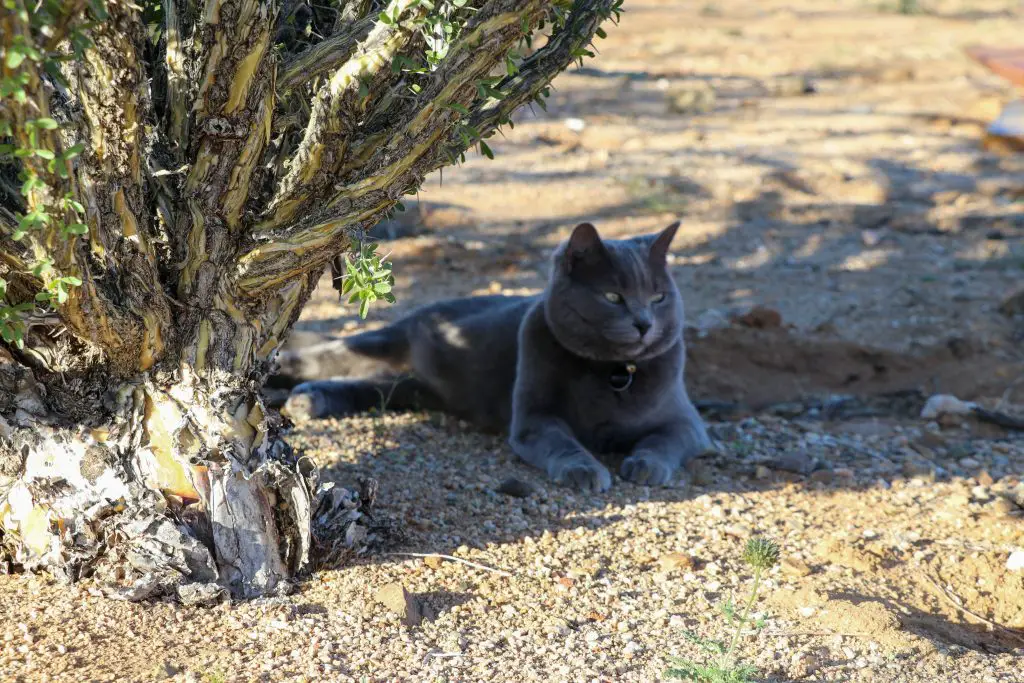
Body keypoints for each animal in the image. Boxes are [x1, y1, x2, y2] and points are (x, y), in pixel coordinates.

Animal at [276, 222, 716, 489]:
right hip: (386, 340)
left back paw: (311, 398)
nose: (644, 323)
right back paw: (288, 386)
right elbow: (564, 443)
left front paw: (646, 466)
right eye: (612, 297)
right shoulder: (535, 419)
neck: (612, 372)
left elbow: (664, 440)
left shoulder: (688, 424)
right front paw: (586, 471)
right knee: (324, 355)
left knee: (375, 386)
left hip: (415, 389)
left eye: (659, 297)